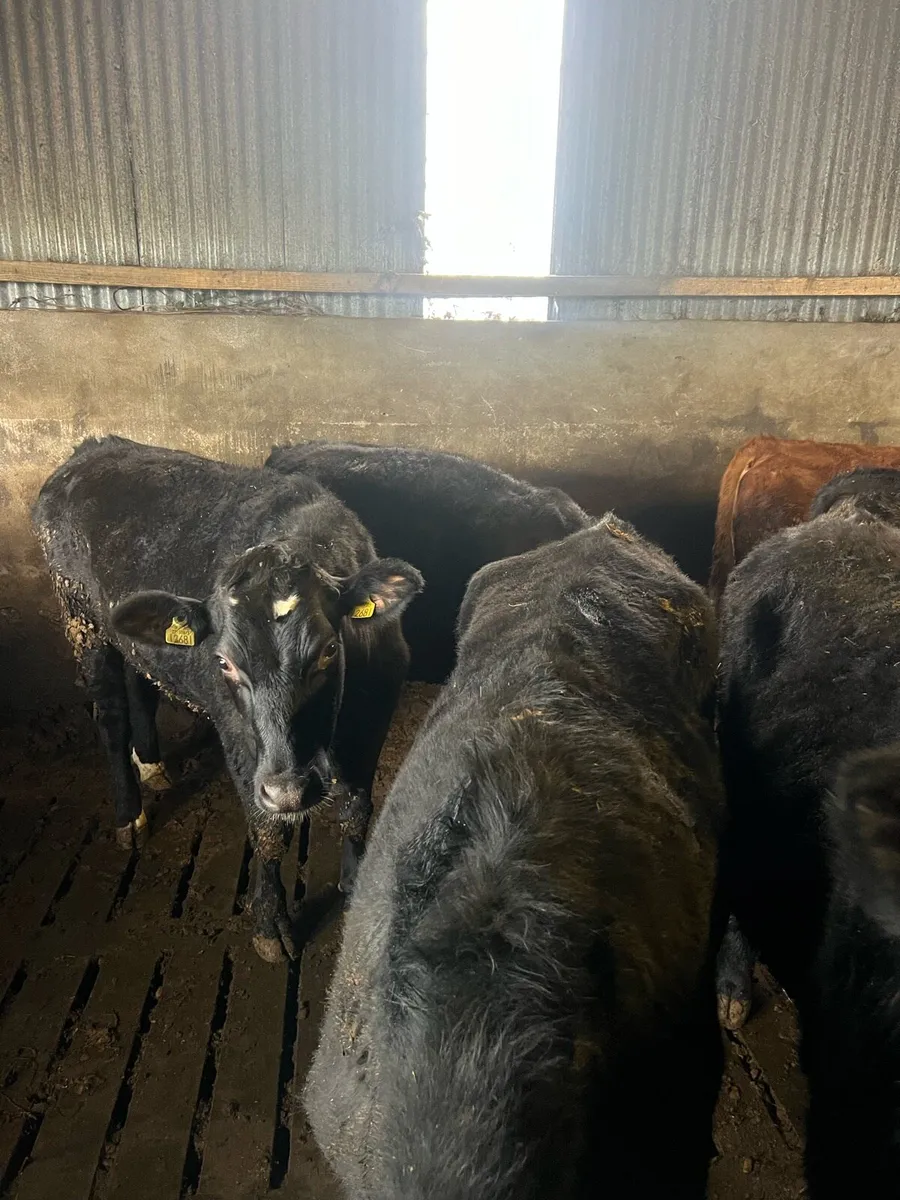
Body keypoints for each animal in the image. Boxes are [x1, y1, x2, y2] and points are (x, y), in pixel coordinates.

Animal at [34, 436, 423, 962]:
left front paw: (355, 882)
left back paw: (152, 764)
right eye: (223, 663)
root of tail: (92, 448)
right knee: (110, 718)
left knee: (142, 685)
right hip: (82, 621)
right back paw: (129, 814)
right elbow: (268, 832)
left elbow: (358, 808)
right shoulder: (239, 736)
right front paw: (270, 923)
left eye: (329, 650)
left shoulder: (375, 712)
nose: (288, 791)